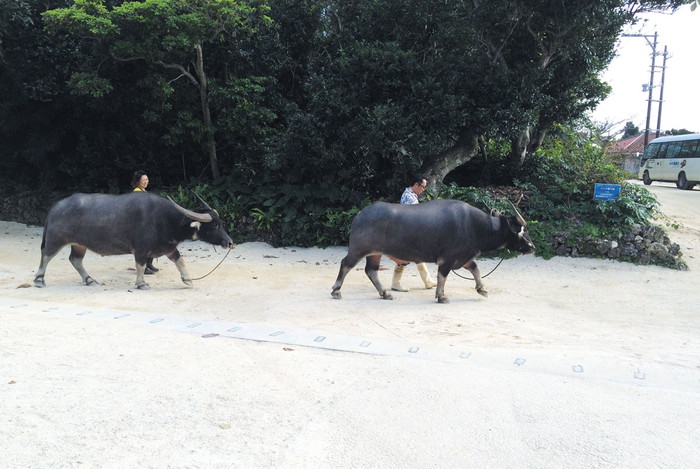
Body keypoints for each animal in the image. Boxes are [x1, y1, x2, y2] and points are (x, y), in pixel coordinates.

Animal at [34, 191, 235, 288]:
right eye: (215, 226)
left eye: (220, 223)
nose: (230, 242)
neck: (165, 218)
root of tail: (55, 207)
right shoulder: (141, 248)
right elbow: (140, 265)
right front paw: (141, 284)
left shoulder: (168, 246)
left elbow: (180, 260)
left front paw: (187, 280)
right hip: (56, 240)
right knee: (45, 255)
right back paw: (39, 279)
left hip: (79, 244)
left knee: (75, 260)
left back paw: (90, 280)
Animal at [330, 198, 532, 304]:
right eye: (520, 230)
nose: (532, 247)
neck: (475, 226)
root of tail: (360, 215)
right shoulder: (448, 258)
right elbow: (443, 276)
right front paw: (441, 296)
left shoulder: (463, 256)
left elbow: (475, 268)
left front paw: (481, 289)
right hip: (359, 249)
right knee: (346, 265)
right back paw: (336, 291)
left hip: (375, 253)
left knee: (371, 271)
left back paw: (385, 293)